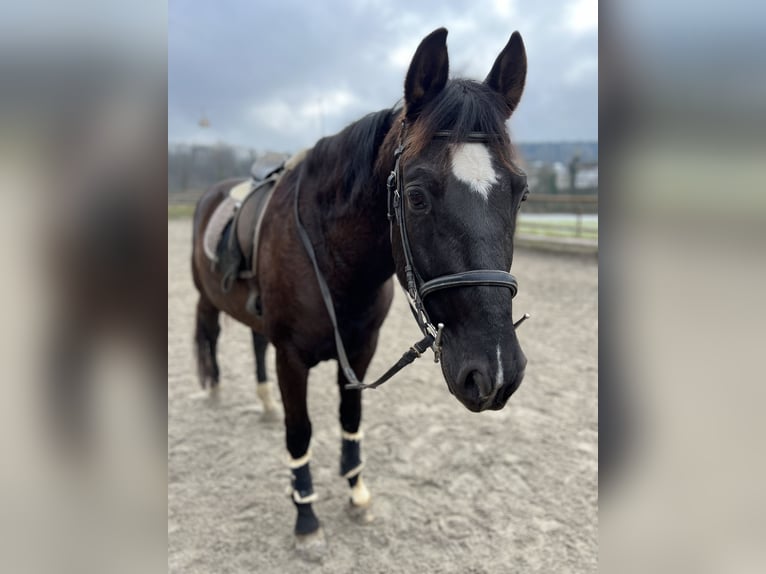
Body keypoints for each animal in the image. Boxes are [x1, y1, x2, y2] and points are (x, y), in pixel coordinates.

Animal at [190, 28, 528, 560]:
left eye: (521, 193)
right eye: (416, 196)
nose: (495, 371)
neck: (331, 258)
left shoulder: (361, 351)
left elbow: (350, 418)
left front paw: (356, 493)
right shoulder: (292, 358)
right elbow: (300, 432)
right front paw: (306, 518)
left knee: (254, 342)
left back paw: (262, 403)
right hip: (207, 301)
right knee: (209, 335)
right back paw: (215, 389)